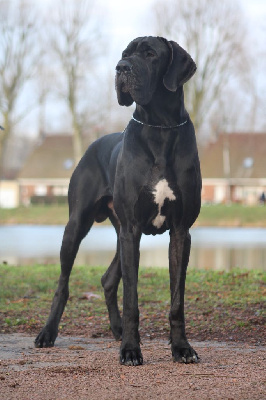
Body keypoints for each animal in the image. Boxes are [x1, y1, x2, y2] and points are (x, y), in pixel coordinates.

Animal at [35, 36, 202, 366]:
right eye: (125, 54)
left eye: (150, 54)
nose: (121, 68)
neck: (160, 128)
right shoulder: (132, 228)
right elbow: (132, 298)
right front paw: (131, 350)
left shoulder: (180, 231)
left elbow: (177, 299)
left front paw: (181, 348)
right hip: (78, 226)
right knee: (63, 283)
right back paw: (48, 333)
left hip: (120, 233)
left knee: (108, 279)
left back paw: (116, 329)